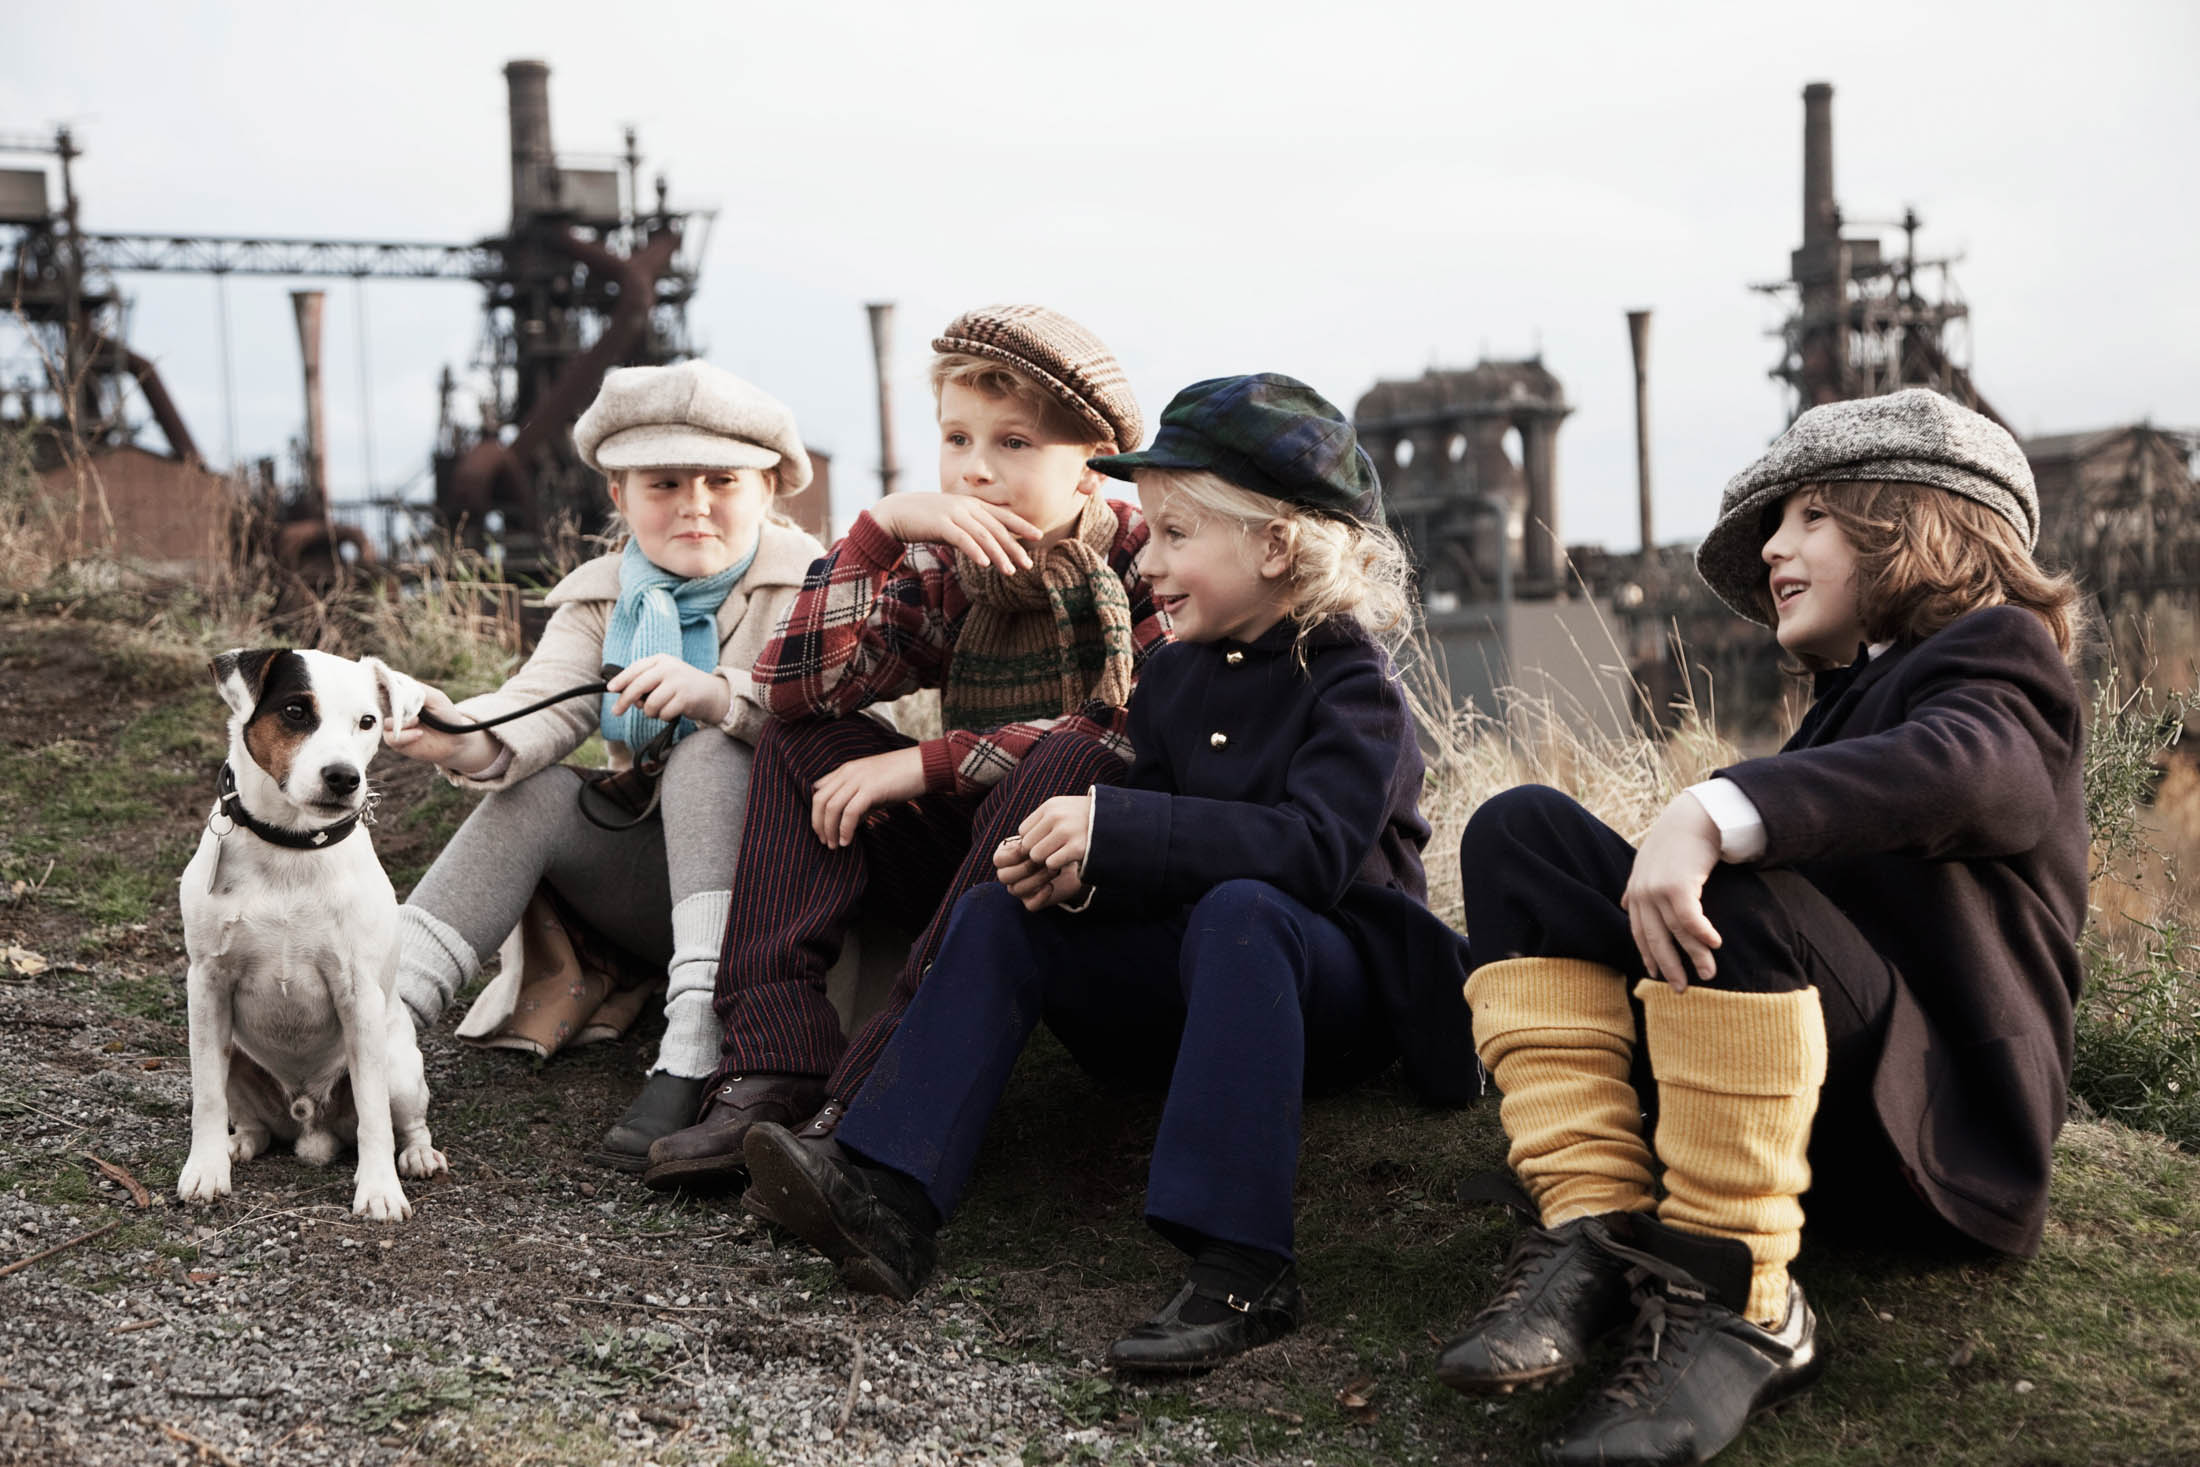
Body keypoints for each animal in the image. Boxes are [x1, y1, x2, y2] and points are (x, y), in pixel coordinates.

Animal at [174, 646, 446, 1222]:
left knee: (404, 1121)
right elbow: (205, 1095)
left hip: (399, 1064)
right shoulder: (207, 986)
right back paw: (239, 1144)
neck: (289, 845)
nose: (343, 777)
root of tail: (307, 1118)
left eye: (368, 721)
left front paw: (380, 1189)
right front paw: (206, 1169)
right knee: (251, 1121)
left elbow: (373, 1113)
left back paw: (416, 1156)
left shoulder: (358, 995)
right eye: (296, 712)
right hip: (236, 1055)